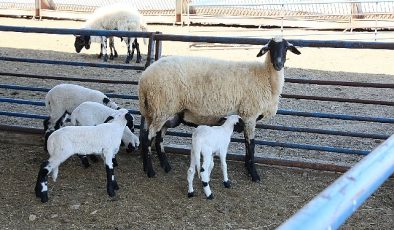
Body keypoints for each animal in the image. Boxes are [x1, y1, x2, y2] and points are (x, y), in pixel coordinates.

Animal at [139, 36, 302, 181]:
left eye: (286, 48)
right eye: (270, 48)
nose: (278, 64)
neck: (265, 77)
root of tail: (144, 79)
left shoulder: (246, 117)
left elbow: (247, 144)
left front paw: (248, 168)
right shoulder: (250, 114)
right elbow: (251, 145)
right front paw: (254, 174)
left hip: (162, 112)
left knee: (157, 138)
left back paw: (163, 166)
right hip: (161, 108)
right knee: (147, 138)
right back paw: (151, 171)